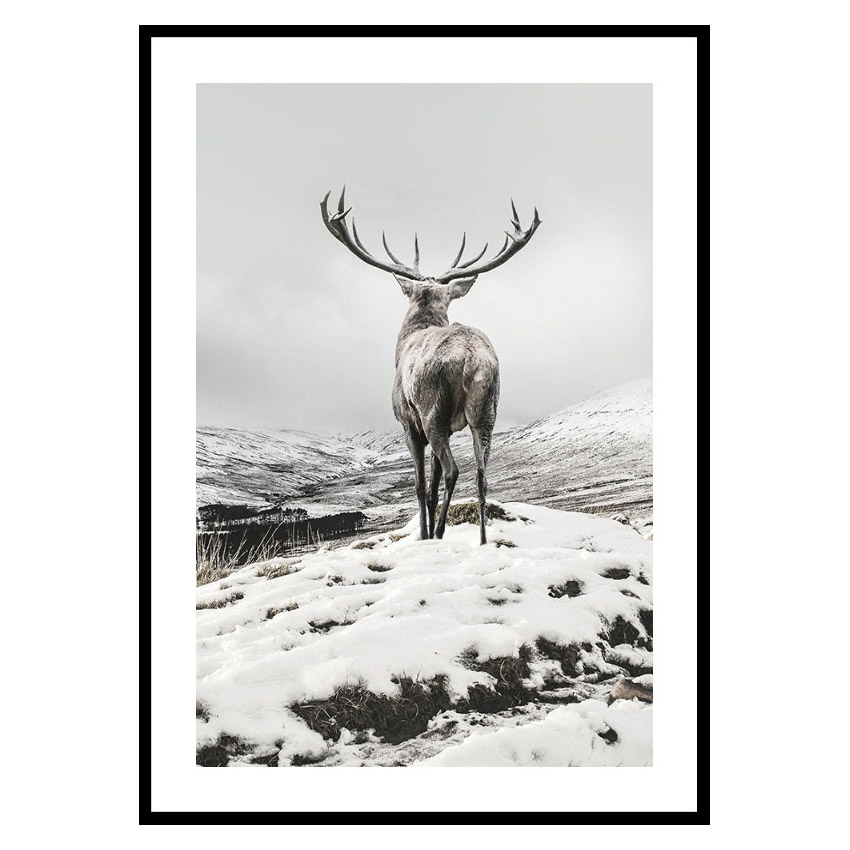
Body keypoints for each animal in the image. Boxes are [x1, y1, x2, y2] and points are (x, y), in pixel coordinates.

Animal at [320, 188, 541, 545]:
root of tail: (470, 359)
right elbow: (433, 486)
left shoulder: (408, 423)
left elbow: (422, 485)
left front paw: (423, 535)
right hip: (487, 410)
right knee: (481, 475)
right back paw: (481, 541)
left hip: (432, 409)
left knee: (453, 470)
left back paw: (437, 533)